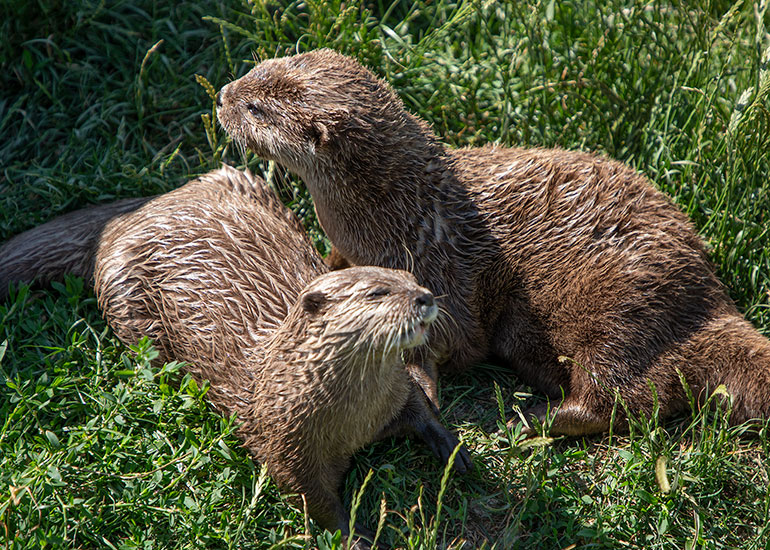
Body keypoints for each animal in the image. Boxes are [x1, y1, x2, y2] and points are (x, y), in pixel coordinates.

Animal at [0, 165, 470, 546]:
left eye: (410, 277)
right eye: (377, 292)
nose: (425, 297)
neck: (353, 418)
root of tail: (130, 217)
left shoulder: (396, 391)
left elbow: (422, 408)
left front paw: (454, 452)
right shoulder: (287, 449)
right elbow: (315, 503)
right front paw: (358, 538)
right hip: (125, 301)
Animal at [216, 49, 770, 436]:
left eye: (255, 109)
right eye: (256, 69)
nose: (222, 94)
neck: (398, 212)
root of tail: (710, 303)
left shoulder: (438, 272)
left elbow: (451, 342)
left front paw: (422, 388)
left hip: (623, 304)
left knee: (619, 399)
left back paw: (534, 420)